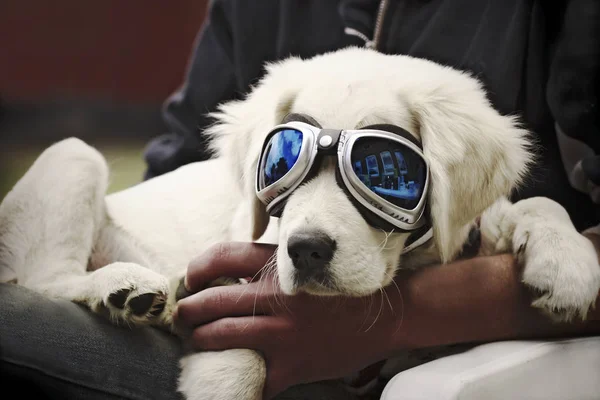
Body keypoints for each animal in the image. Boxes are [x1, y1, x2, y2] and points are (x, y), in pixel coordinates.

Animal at [3, 47, 600, 400]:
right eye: (281, 164)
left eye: (383, 169)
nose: (306, 250)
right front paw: (223, 368)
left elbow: (537, 205)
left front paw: (568, 265)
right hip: (76, 154)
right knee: (41, 278)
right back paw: (130, 287)